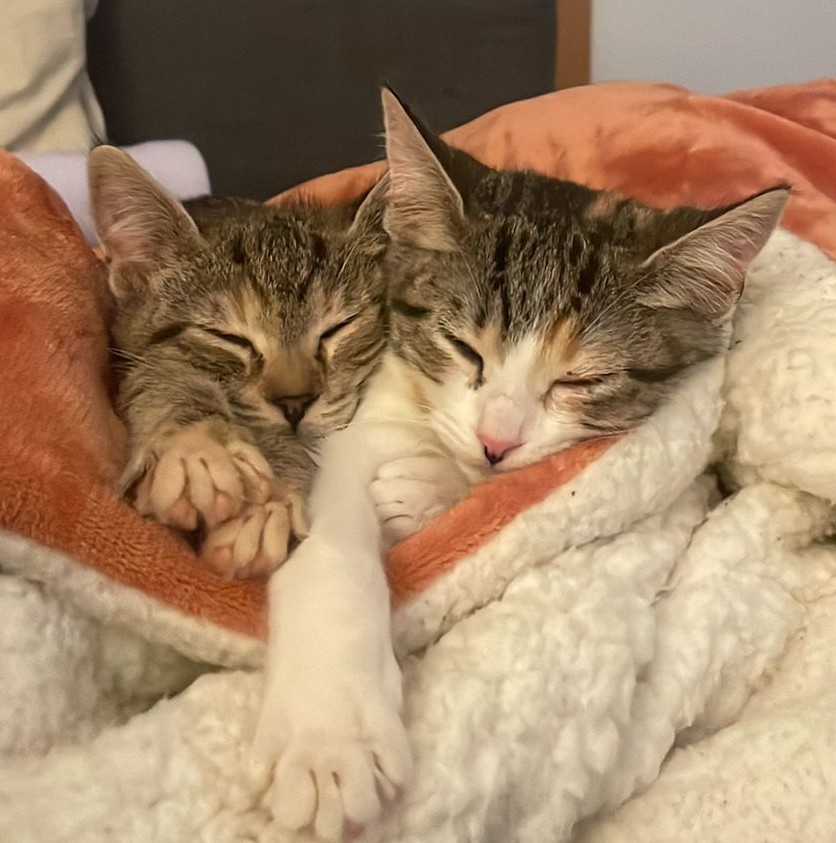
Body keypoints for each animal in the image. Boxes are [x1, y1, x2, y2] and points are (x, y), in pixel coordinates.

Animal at [89, 147, 388, 578]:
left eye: (337, 328)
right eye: (230, 338)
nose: (294, 403)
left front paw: (266, 503)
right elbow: (163, 373)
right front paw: (198, 445)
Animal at [254, 89, 787, 842]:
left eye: (580, 380)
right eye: (462, 347)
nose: (496, 441)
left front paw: (426, 489)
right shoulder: (356, 421)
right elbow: (329, 540)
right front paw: (330, 737)